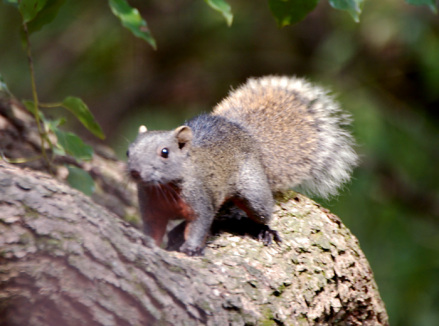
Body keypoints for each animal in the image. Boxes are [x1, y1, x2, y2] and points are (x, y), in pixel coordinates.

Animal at [126, 75, 358, 256]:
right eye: (128, 151)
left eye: (165, 152)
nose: (135, 171)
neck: (164, 189)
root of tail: (248, 136)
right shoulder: (151, 208)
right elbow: (153, 229)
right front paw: (147, 241)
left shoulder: (200, 198)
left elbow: (200, 224)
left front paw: (191, 248)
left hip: (252, 191)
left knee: (260, 212)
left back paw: (263, 230)